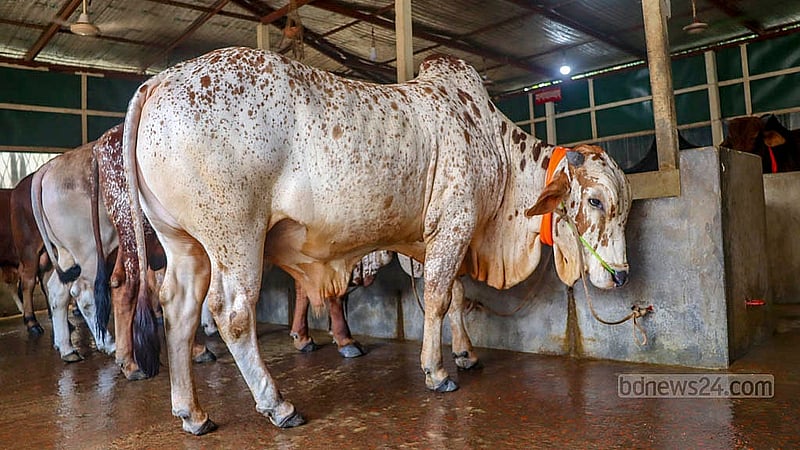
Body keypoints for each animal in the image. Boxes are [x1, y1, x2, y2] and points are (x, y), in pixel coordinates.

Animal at [120, 47, 632, 434]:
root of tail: (160, 81)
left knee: (179, 310)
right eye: (596, 201)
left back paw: (192, 412)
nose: (623, 275)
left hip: (184, 243)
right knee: (232, 314)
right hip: (235, 237)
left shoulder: (441, 240)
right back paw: (277, 405)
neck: (497, 152)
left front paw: (465, 354)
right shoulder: (454, 225)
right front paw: (437, 371)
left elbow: (457, 295)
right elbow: (439, 299)